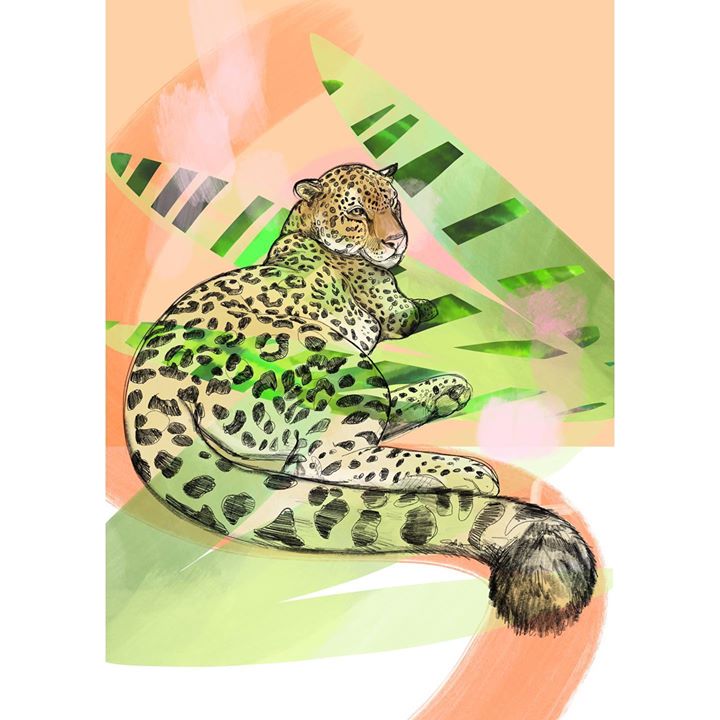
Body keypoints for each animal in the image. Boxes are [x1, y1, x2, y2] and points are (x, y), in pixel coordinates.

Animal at [123, 161, 596, 636]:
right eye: (356, 212)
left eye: (393, 204)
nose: (395, 241)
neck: (299, 226)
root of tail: (150, 384)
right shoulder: (396, 312)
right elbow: (426, 307)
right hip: (334, 359)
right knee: (325, 461)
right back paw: (463, 470)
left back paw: (447, 392)